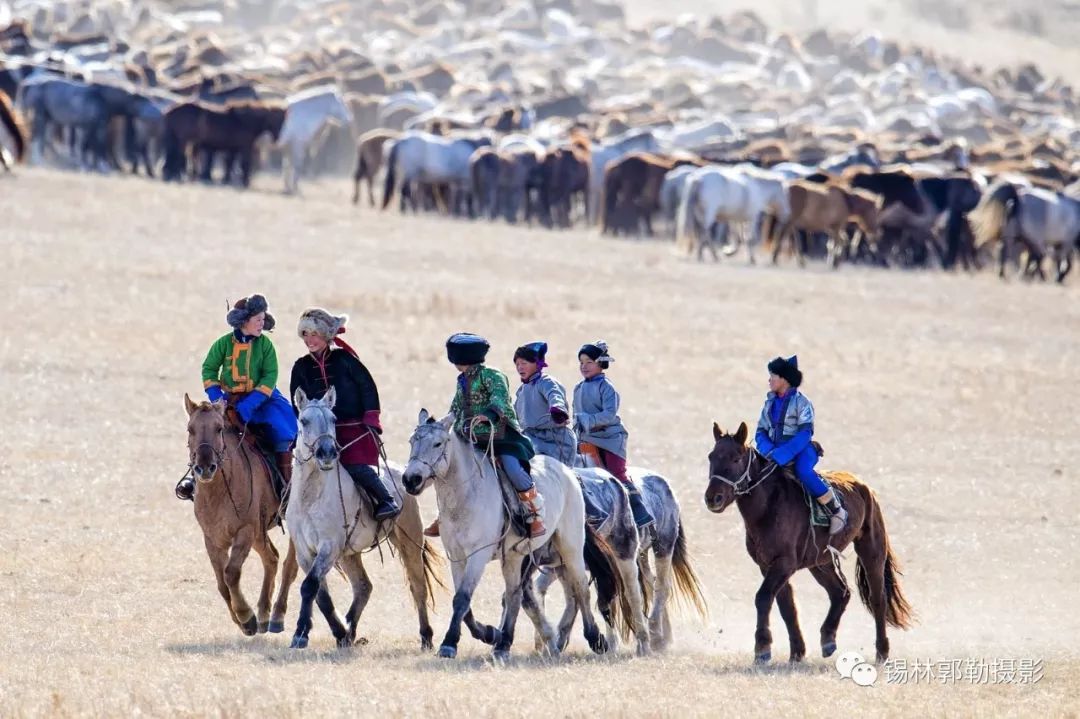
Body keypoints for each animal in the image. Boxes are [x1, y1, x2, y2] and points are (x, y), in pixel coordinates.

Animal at [182, 395, 298, 634]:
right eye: (190, 429)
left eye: (219, 428)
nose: (204, 468)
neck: (218, 492)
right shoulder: (213, 539)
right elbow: (221, 583)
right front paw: (242, 620)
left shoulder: (245, 531)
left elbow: (231, 573)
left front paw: (245, 616)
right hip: (259, 533)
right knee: (272, 558)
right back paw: (263, 614)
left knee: (289, 567)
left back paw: (276, 616)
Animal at [287, 386, 442, 647]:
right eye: (304, 421)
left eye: (333, 419)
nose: (327, 453)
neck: (311, 496)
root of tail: (402, 473)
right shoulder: (305, 552)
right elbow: (320, 594)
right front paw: (336, 631)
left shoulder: (328, 547)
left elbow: (310, 586)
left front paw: (301, 633)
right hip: (349, 554)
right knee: (363, 586)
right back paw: (350, 631)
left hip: (409, 542)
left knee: (417, 586)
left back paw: (426, 637)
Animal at [401, 408, 613, 660]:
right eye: (412, 441)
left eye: (437, 443)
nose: (410, 479)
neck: (466, 496)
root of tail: (567, 472)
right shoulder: (457, 556)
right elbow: (463, 602)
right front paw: (489, 633)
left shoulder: (478, 555)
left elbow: (462, 598)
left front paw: (449, 644)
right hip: (515, 556)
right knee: (515, 594)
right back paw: (503, 643)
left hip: (570, 546)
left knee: (581, 587)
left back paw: (595, 639)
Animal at [704, 423, 915, 665]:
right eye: (712, 456)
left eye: (736, 458)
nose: (713, 498)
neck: (769, 505)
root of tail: (863, 487)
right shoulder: (768, 565)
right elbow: (787, 606)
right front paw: (797, 652)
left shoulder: (784, 563)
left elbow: (764, 597)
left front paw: (762, 649)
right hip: (820, 562)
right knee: (840, 592)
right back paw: (828, 639)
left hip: (871, 551)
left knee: (877, 599)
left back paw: (881, 651)